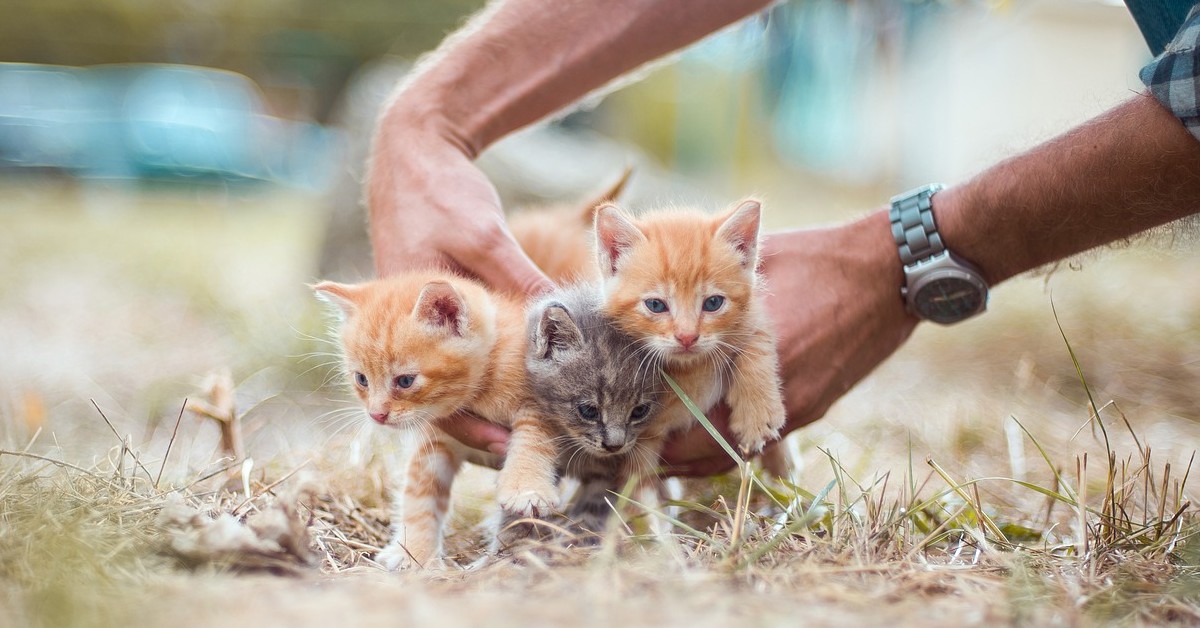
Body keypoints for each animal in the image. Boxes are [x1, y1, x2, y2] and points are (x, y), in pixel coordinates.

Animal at [319, 271, 561, 569]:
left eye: (405, 381)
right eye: (361, 379)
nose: (377, 415)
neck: (479, 393)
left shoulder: (550, 400)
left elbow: (534, 437)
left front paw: (526, 487)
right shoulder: (436, 440)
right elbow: (419, 496)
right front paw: (414, 554)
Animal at [590, 201, 787, 461]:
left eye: (713, 303)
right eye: (656, 305)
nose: (687, 337)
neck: (689, 370)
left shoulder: (753, 316)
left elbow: (757, 343)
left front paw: (757, 414)